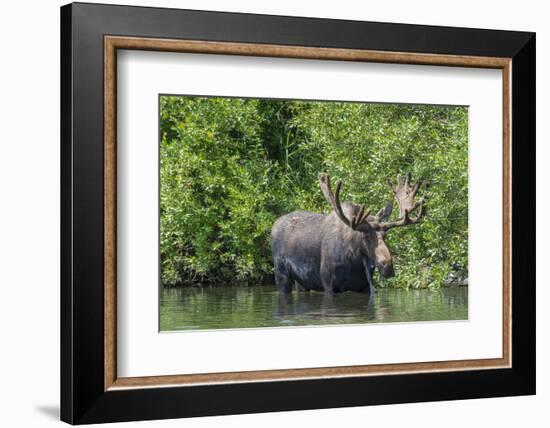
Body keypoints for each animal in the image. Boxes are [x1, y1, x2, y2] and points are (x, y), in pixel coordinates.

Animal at [272, 172, 432, 292]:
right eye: (365, 235)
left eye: (385, 235)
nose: (387, 266)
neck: (354, 261)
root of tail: (274, 225)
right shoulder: (328, 284)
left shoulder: (364, 287)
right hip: (281, 275)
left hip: (301, 282)